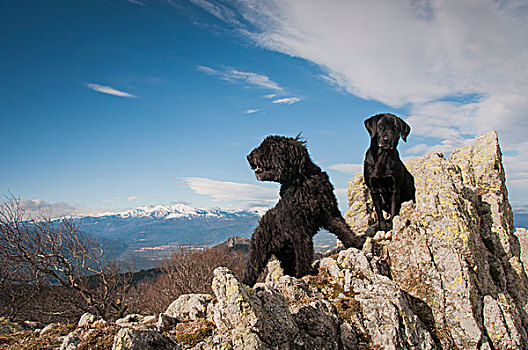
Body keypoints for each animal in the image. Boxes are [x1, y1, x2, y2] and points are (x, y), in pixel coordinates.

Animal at [242, 135, 364, 286]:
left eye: (267, 148)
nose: (248, 157)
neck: (302, 181)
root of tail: (261, 221)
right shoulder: (299, 228)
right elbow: (303, 252)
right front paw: (303, 273)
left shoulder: (330, 212)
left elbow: (342, 228)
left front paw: (356, 244)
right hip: (259, 251)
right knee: (251, 269)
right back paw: (246, 284)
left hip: (286, 254)